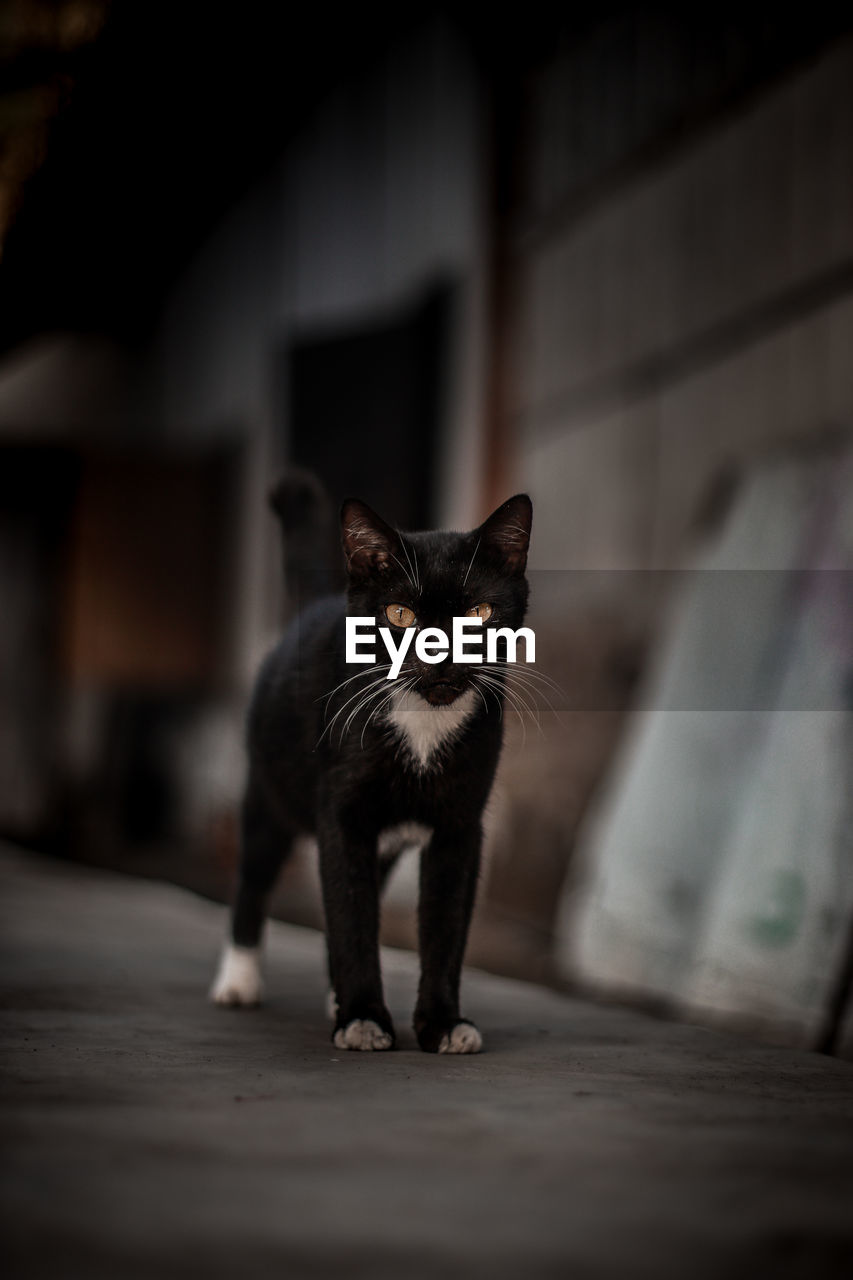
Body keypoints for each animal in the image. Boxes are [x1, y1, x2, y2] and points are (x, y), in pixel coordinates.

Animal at [211, 486, 532, 1049]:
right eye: (400, 613)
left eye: (479, 611)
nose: (440, 655)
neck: (424, 722)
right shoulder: (342, 815)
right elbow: (351, 914)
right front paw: (362, 1018)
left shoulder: (460, 827)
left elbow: (444, 927)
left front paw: (443, 1023)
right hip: (269, 790)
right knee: (254, 878)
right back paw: (239, 980)